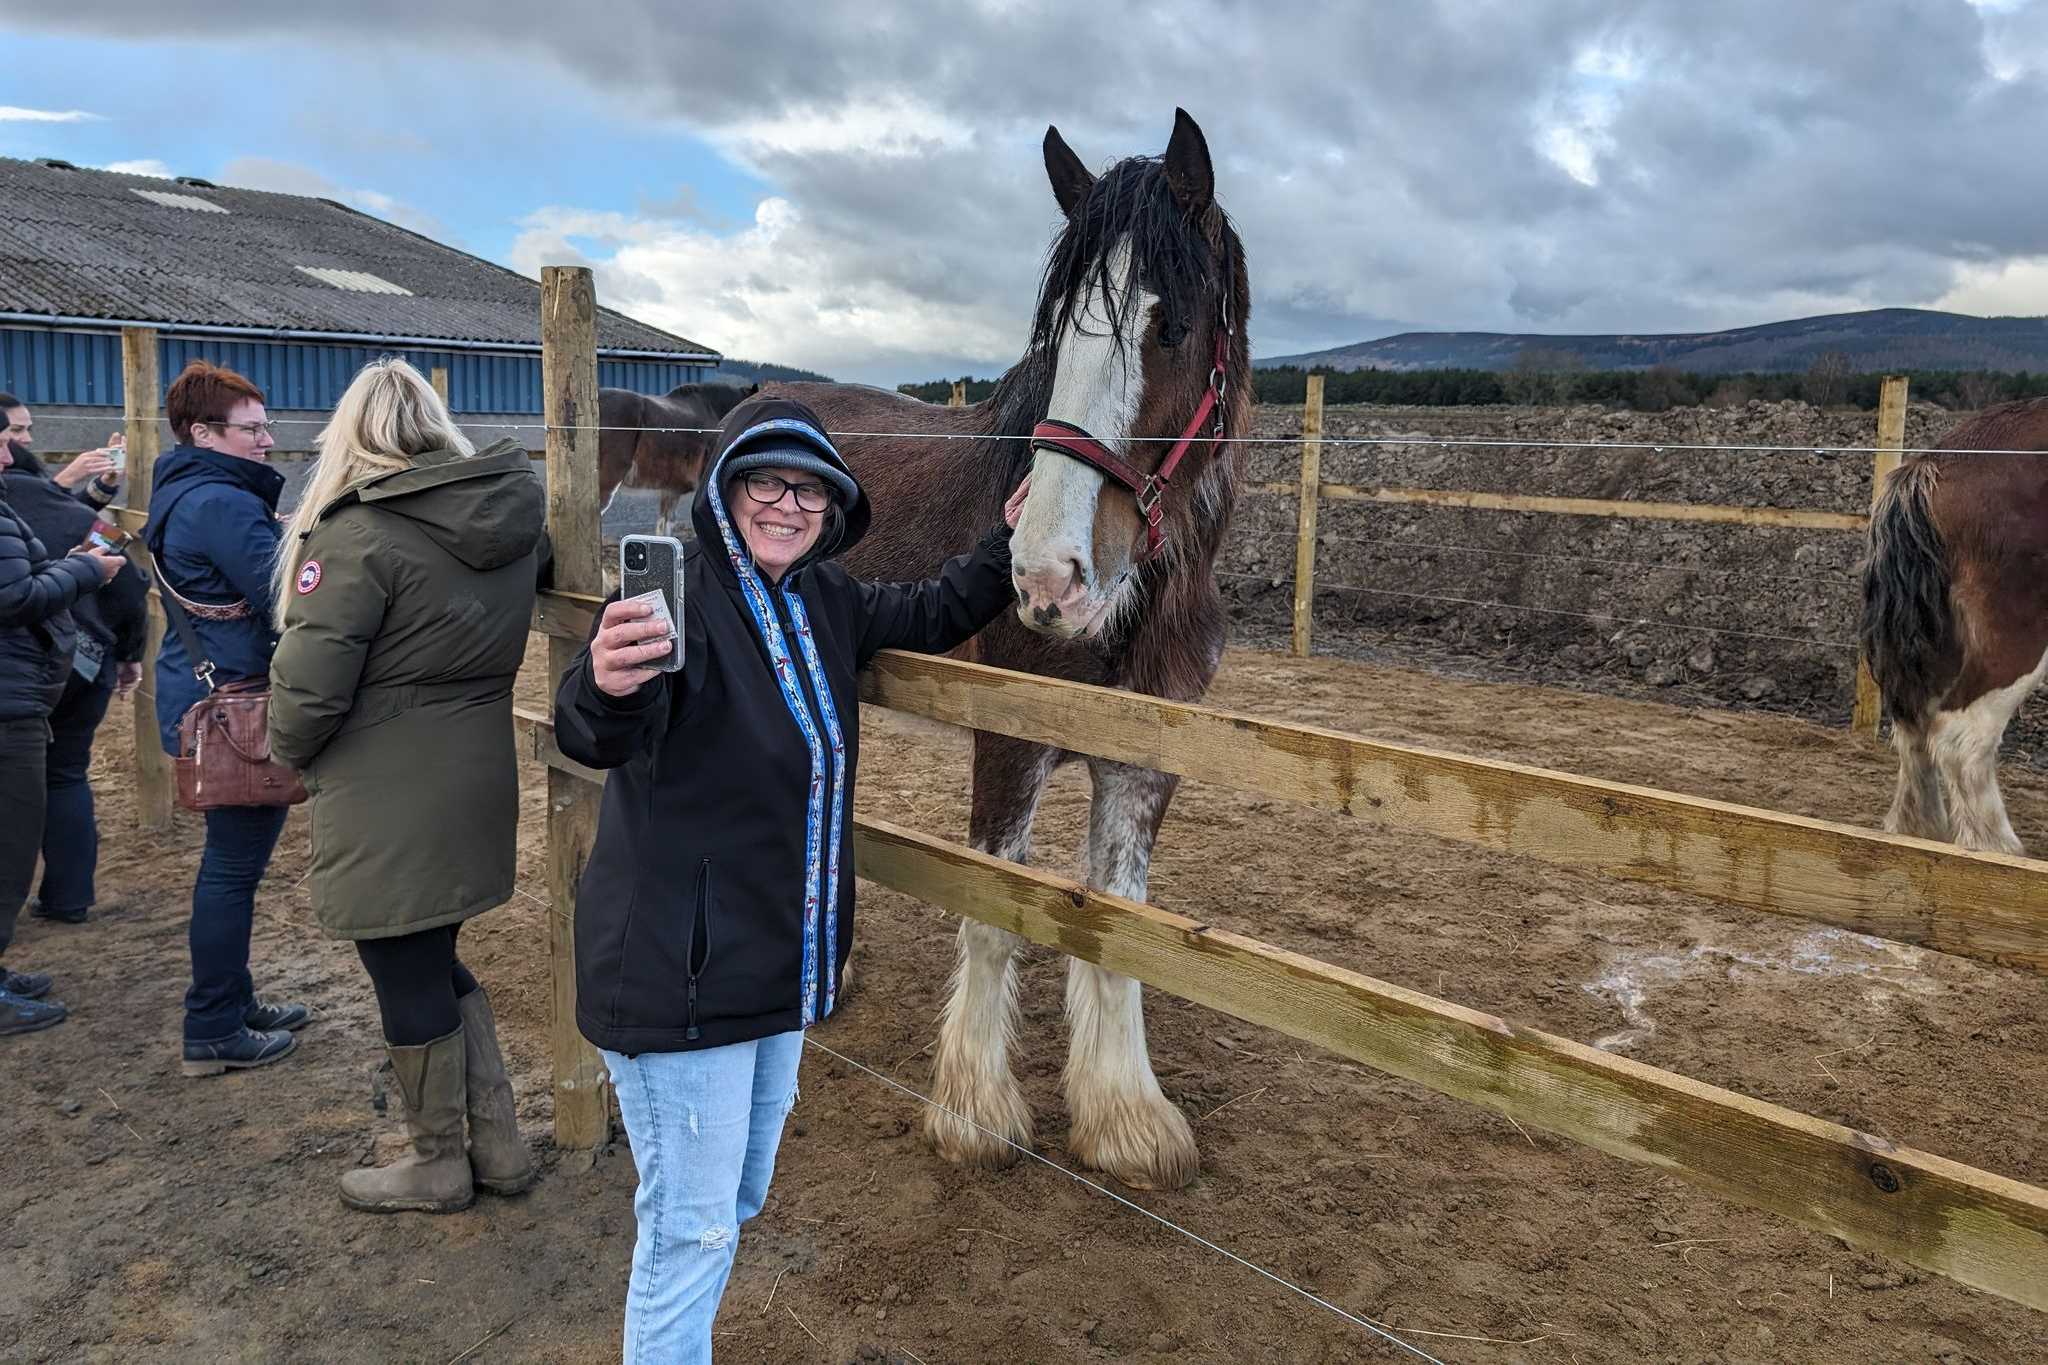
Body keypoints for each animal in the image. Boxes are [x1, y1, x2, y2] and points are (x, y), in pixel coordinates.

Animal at [761, 109, 1245, 1195]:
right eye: (1057, 333)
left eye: (1170, 326)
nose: (1046, 576)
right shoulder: (1008, 745)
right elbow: (991, 907)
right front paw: (973, 1111)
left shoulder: (1144, 762)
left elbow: (1119, 918)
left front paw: (1124, 1117)